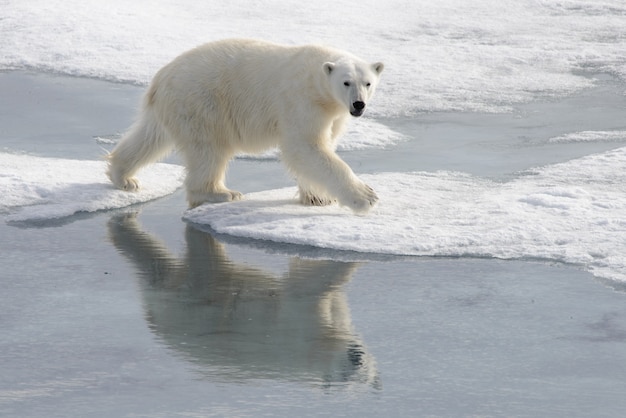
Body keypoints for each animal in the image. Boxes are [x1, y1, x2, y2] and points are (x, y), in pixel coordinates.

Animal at [106, 38, 380, 212]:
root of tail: (161, 78)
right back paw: (221, 193)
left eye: (367, 82)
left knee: (150, 137)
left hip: (172, 106)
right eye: (346, 82)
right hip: (201, 101)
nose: (358, 104)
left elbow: (323, 145)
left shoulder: (333, 113)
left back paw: (124, 177)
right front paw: (365, 197)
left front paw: (318, 198)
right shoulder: (301, 100)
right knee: (209, 150)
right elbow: (305, 147)